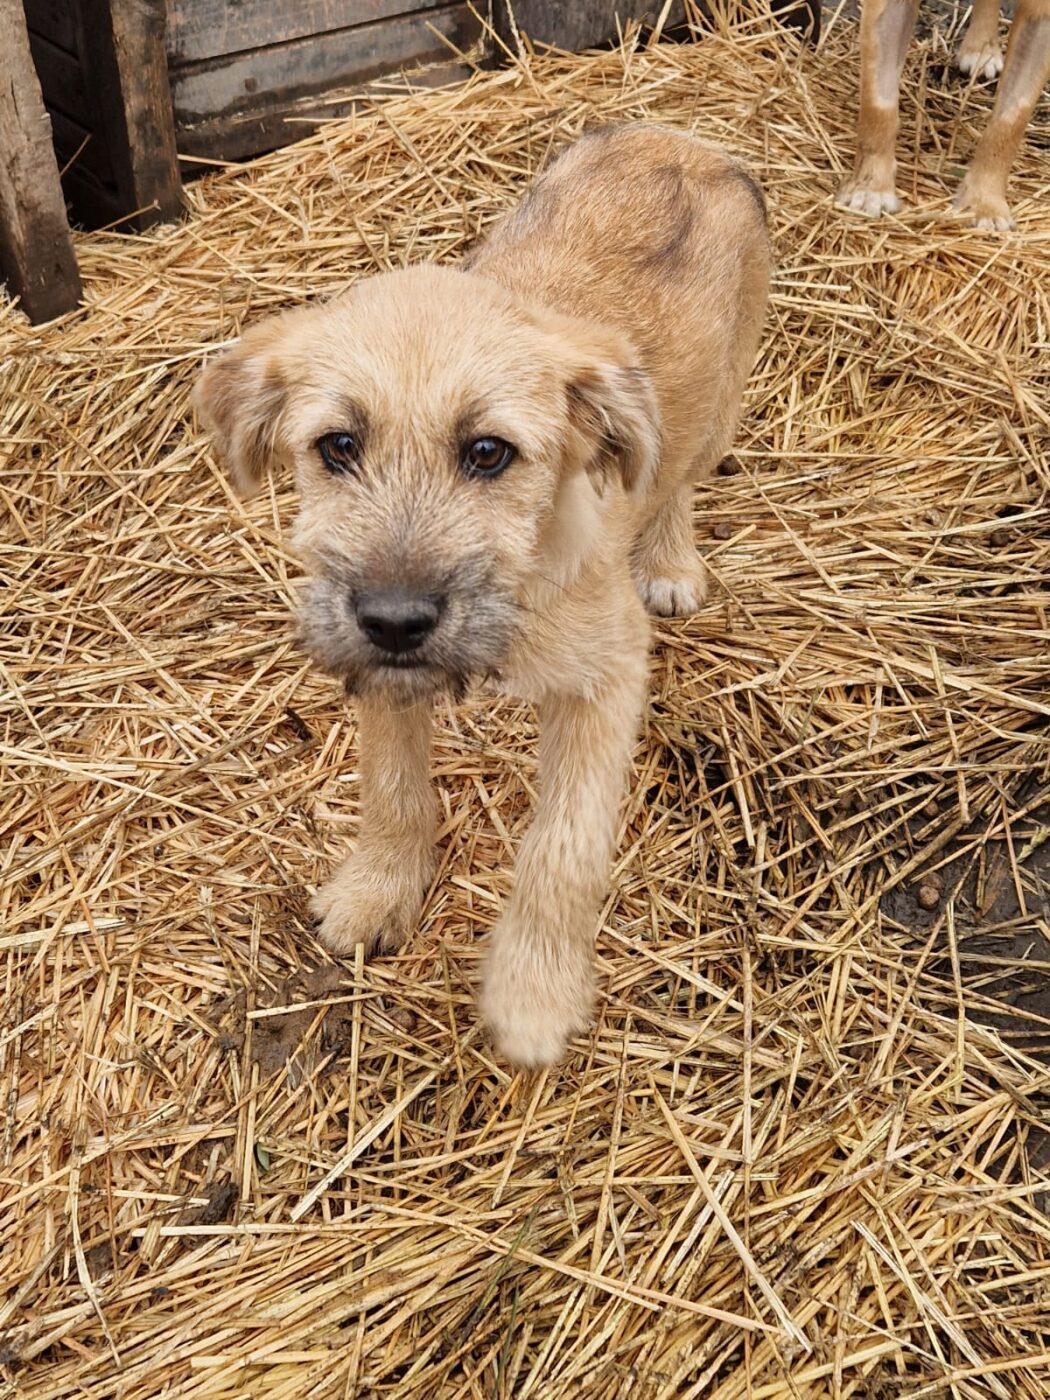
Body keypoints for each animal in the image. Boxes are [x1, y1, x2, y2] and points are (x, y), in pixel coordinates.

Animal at [194, 125, 770, 1067]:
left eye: (489, 452)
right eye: (338, 445)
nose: (395, 619)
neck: (524, 582)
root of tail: (676, 139)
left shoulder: (609, 679)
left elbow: (562, 847)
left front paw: (533, 993)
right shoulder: (386, 673)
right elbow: (392, 785)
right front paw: (379, 890)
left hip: (719, 405)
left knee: (679, 473)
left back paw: (671, 560)